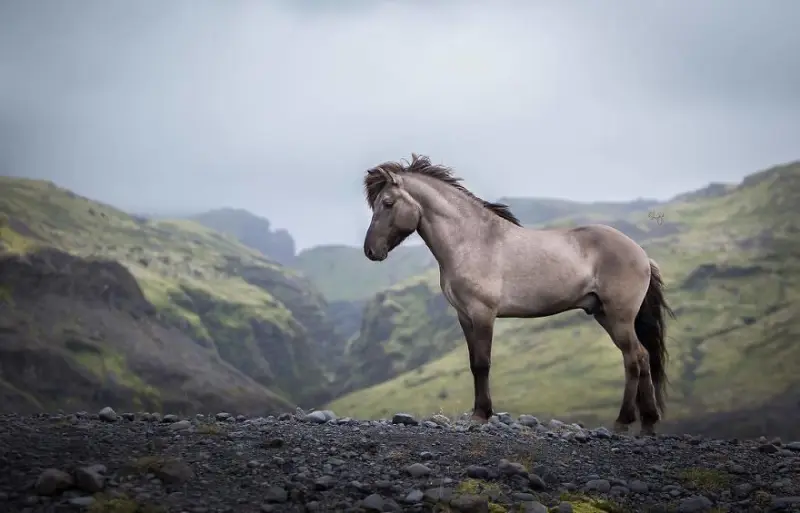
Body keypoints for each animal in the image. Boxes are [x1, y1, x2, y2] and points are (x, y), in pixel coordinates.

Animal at [362, 154, 675, 435]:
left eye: (387, 203)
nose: (370, 251)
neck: (472, 241)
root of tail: (642, 254)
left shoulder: (483, 314)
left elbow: (482, 363)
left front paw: (481, 415)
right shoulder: (464, 316)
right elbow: (473, 364)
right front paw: (479, 412)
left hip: (619, 317)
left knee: (634, 358)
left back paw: (624, 421)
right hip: (604, 314)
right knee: (642, 357)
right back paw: (647, 422)